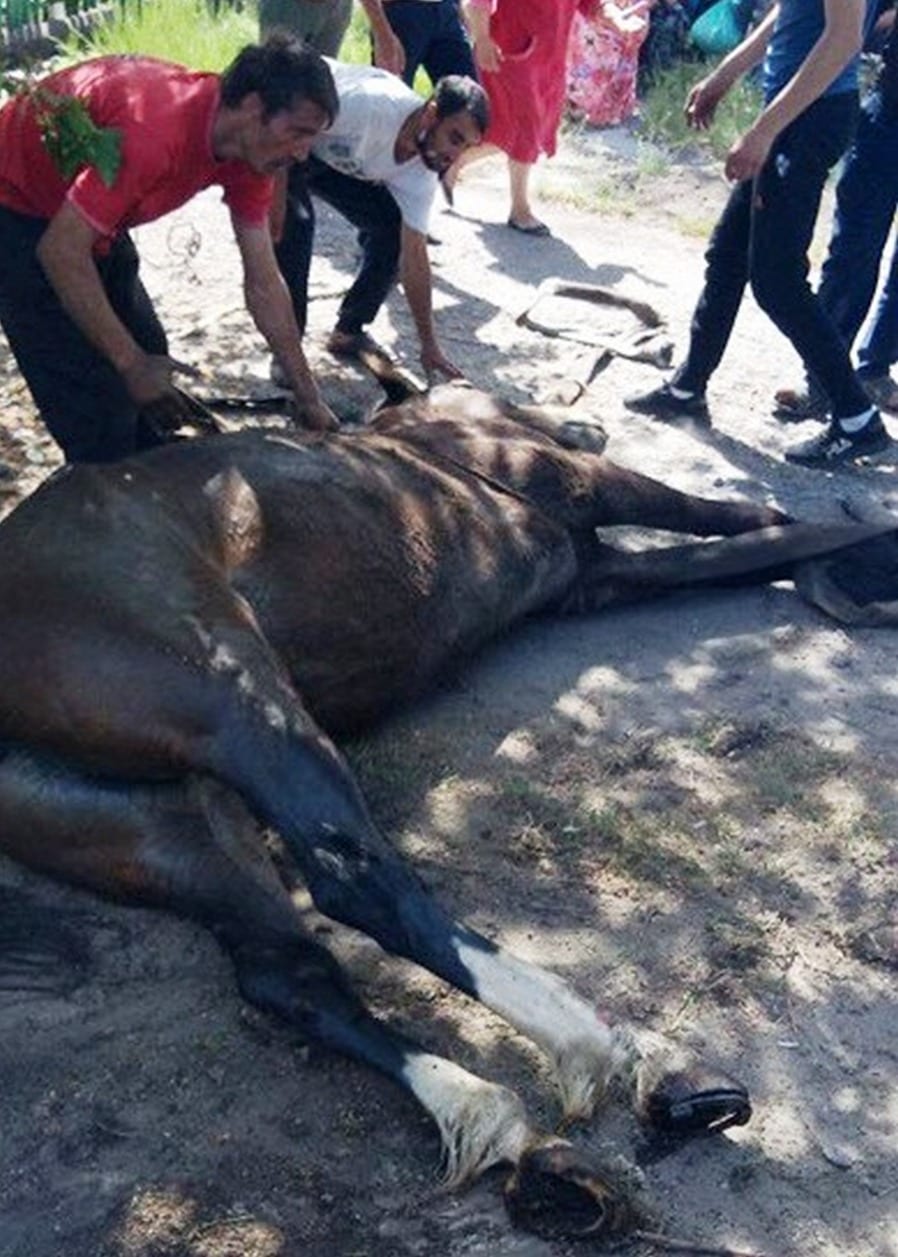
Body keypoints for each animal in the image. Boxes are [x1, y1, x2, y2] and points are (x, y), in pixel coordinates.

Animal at [0, 379, 890, 1236]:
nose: (584, 422)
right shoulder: (592, 485)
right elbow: (758, 520)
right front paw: (867, 558)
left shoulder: (593, 578)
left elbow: (754, 545)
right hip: (236, 692)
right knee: (361, 882)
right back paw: (624, 1059)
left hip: (167, 831)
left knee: (289, 974)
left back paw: (530, 1145)